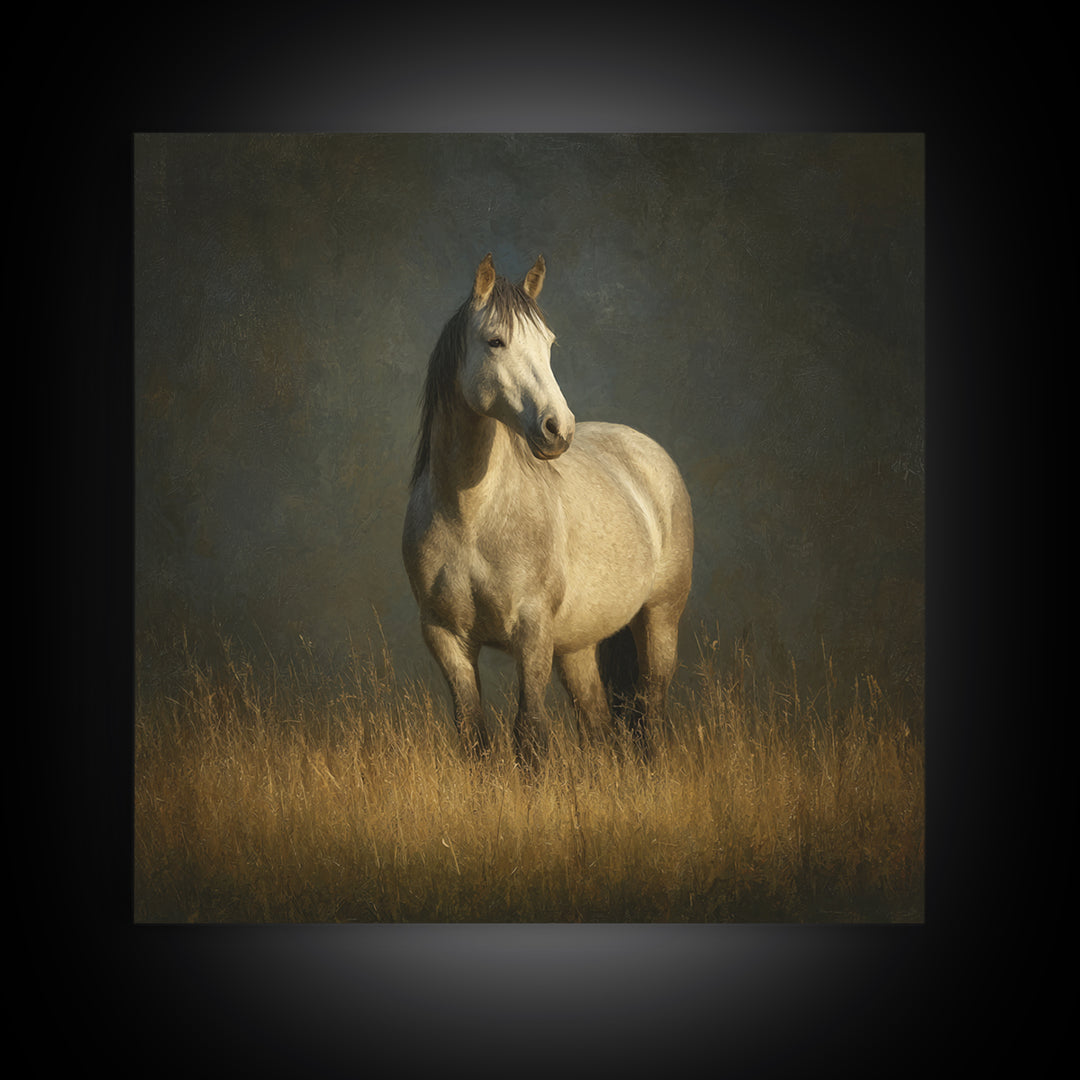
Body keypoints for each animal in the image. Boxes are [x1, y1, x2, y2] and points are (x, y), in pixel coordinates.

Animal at [402, 253, 693, 765]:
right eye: (495, 341)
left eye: (549, 343)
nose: (558, 429)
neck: (471, 516)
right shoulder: (445, 636)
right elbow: (474, 736)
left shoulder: (532, 630)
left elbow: (530, 734)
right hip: (576, 646)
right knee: (598, 725)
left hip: (660, 619)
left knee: (650, 713)